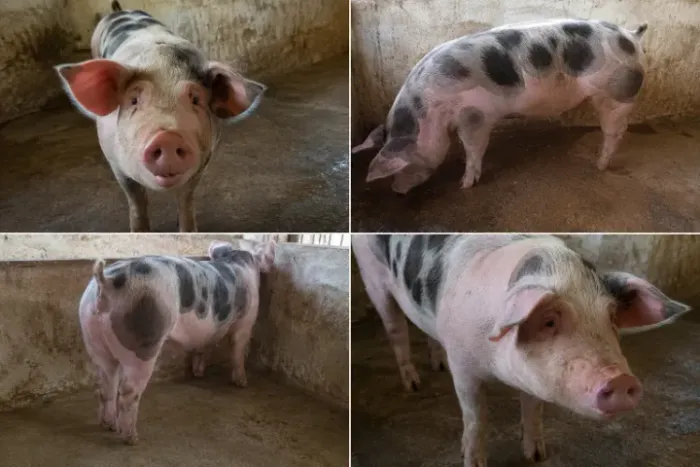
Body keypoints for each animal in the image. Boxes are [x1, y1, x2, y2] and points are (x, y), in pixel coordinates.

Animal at [55, 1, 265, 232]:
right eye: (133, 100)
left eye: (195, 99)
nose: (168, 138)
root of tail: (119, 10)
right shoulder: (115, 163)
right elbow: (137, 201)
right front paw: (139, 232)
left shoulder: (204, 161)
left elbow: (186, 198)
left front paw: (187, 230)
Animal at [78, 239, 275, 444]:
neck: (237, 261)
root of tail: (106, 283)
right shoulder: (246, 320)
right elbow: (238, 349)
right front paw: (242, 382)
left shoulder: (207, 333)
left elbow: (203, 347)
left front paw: (198, 373)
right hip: (144, 338)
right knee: (127, 393)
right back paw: (132, 438)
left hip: (92, 335)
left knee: (106, 385)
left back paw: (109, 425)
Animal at [352, 19, 648, 194]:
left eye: (404, 165)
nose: (396, 190)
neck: (427, 110)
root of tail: (632, 36)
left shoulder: (475, 115)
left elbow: (474, 148)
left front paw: (464, 185)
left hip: (617, 94)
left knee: (615, 131)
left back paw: (600, 165)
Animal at [352, 235, 692, 466]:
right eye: (549, 320)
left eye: (610, 317)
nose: (620, 380)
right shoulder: (463, 367)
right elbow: (476, 417)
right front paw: (473, 462)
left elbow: (532, 410)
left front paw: (537, 455)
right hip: (372, 276)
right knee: (396, 329)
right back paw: (413, 384)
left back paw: (437, 365)